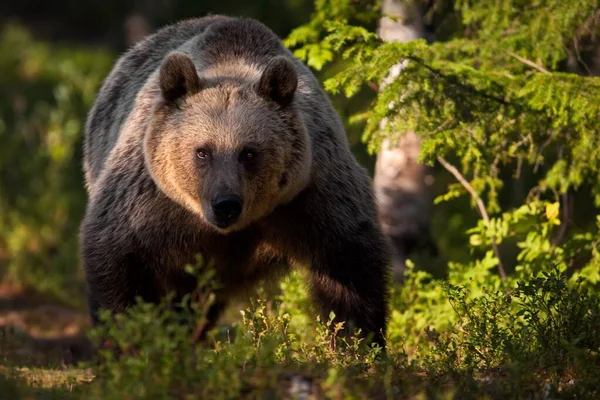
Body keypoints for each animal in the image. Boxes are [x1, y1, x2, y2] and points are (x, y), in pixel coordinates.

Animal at [82, 14, 392, 346]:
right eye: (202, 151)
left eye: (249, 152)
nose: (225, 204)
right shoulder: (149, 201)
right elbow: (118, 258)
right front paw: (131, 337)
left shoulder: (312, 195)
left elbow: (350, 267)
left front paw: (357, 341)